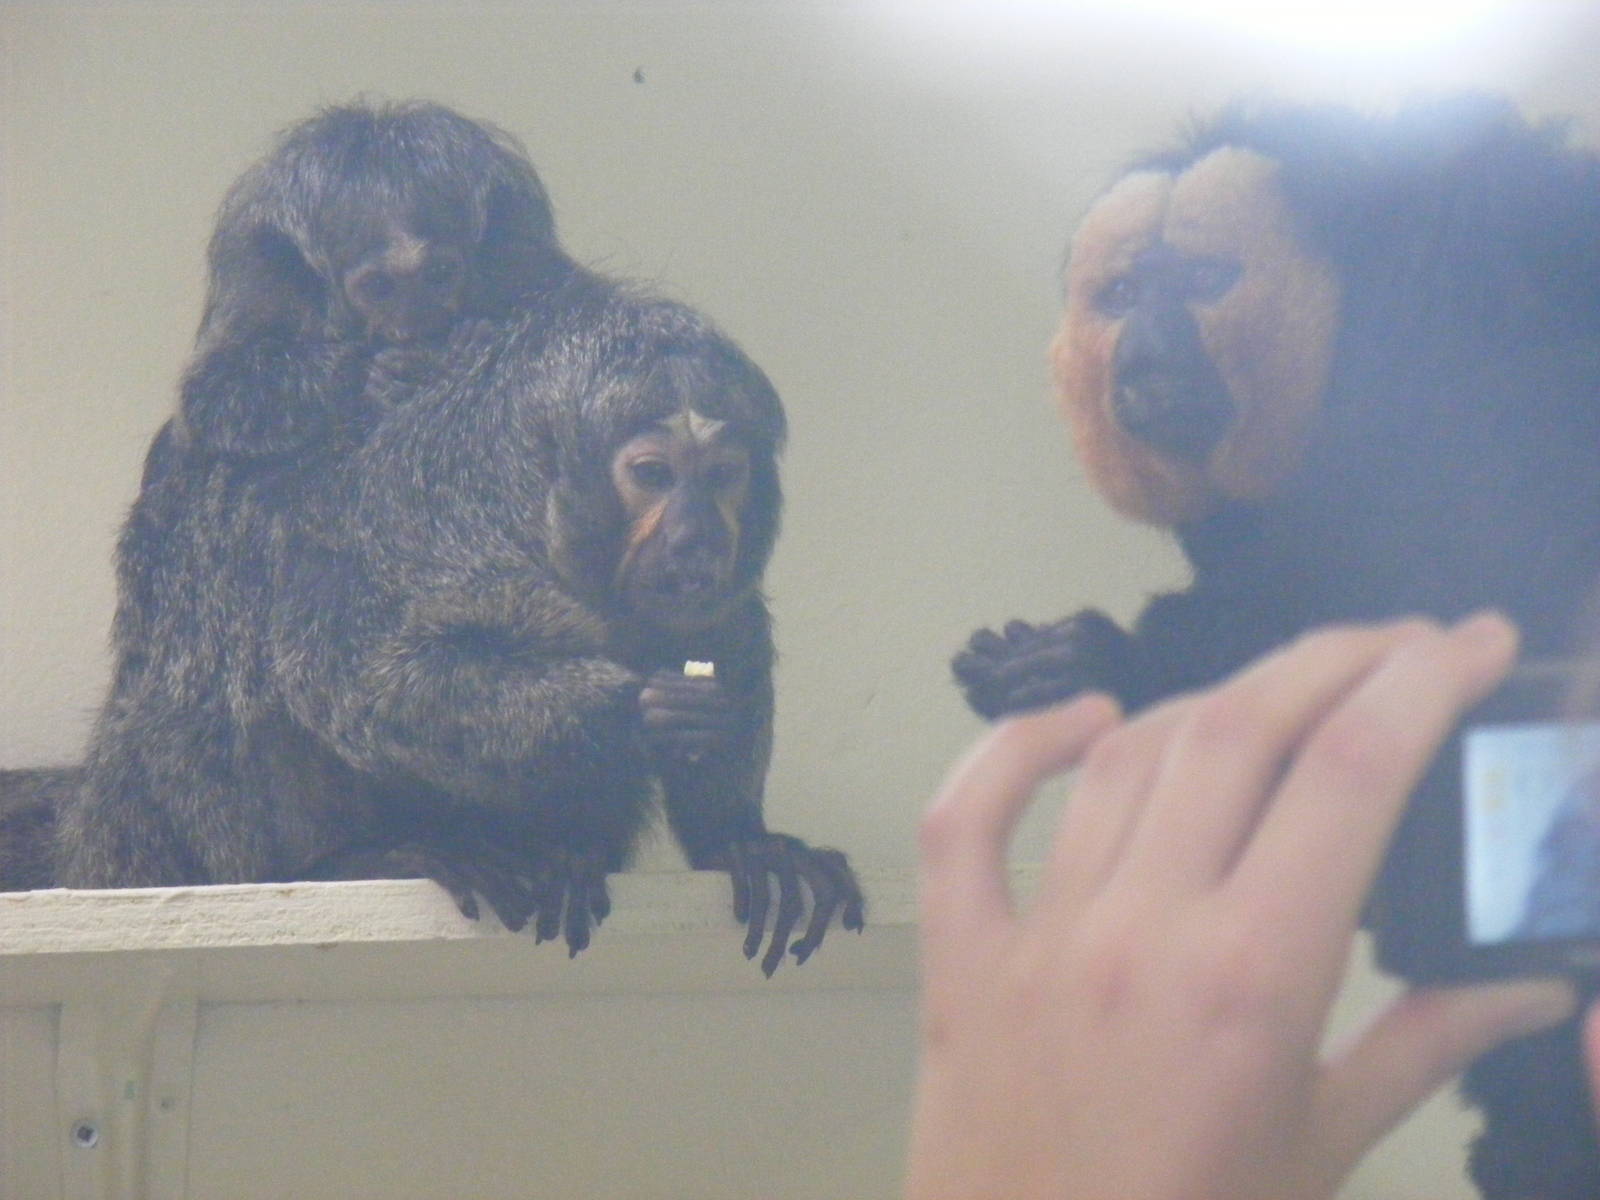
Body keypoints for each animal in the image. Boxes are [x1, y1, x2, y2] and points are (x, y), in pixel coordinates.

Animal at [174, 99, 572, 458]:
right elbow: (216, 393)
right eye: (379, 286)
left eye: (440, 274)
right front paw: (371, 375)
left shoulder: (519, 252)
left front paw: (465, 340)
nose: (417, 323)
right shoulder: (259, 269)